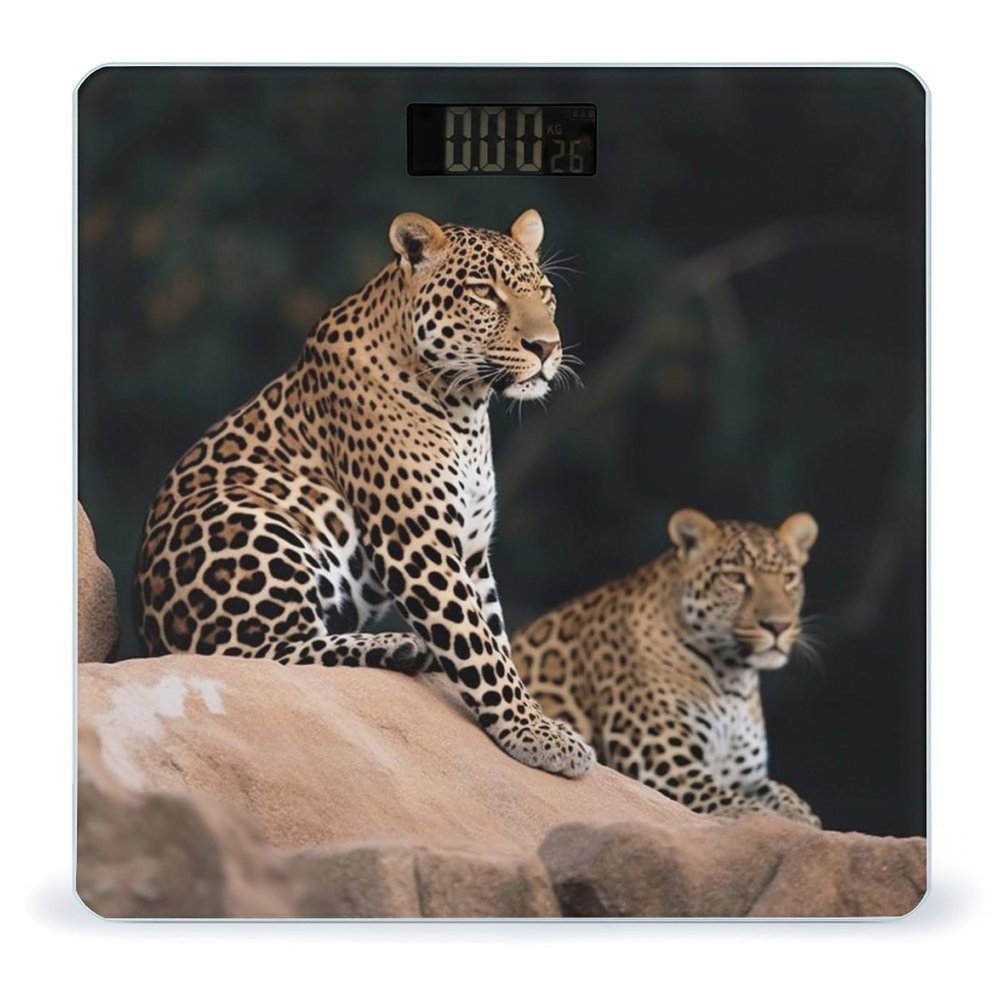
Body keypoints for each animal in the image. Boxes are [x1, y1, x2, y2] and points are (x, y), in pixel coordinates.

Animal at [133, 209, 595, 778]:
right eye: (485, 294)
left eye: (545, 293)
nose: (546, 347)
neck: (466, 405)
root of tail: (148, 637)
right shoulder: (417, 543)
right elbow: (477, 646)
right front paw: (535, 734)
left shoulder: (470, 550)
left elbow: (493, 637)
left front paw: (530, 719)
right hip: (252, 519)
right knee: (248, 656)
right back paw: (397, 646)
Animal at [511, 508, 821, 823]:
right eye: (735, 577)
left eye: (789, 578)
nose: (778, 625)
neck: (733, 677)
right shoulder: (662, 765)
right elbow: (738, 805)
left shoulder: (744, 777)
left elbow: (782, 793)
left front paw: (800, 815)